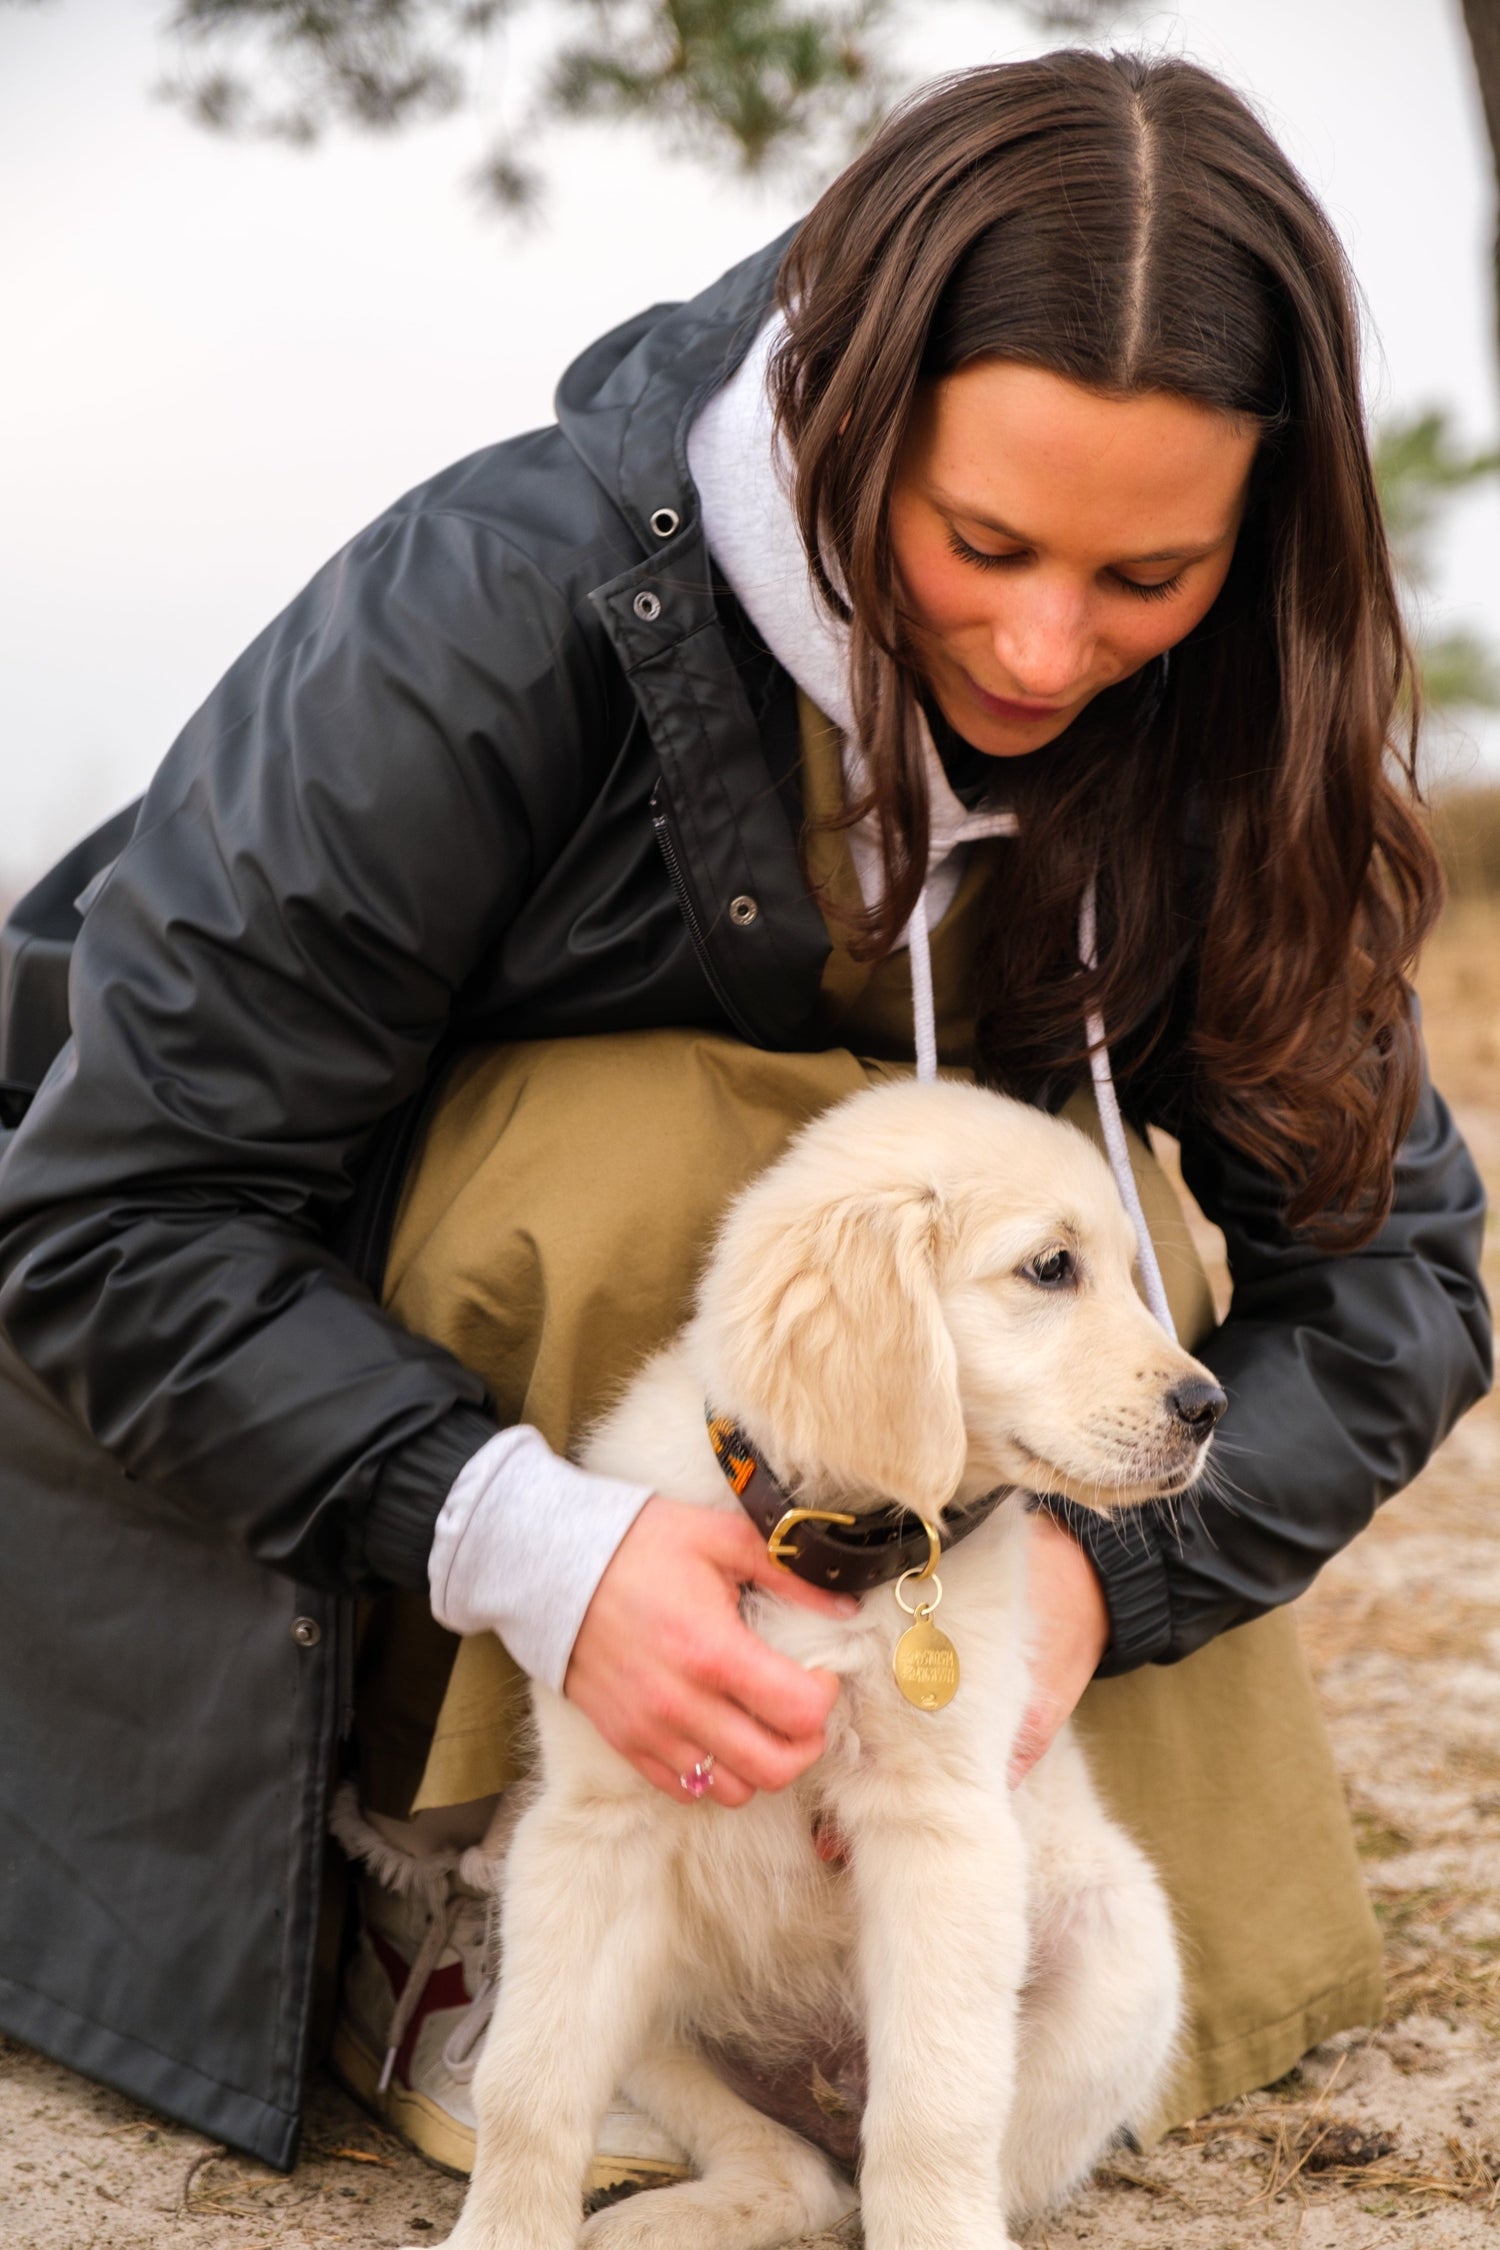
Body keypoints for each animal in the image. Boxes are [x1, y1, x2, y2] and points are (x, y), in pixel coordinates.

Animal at [427, 1080, 1223, 2241]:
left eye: (1131, 1271)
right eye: (1050, 1267)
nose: (1209, 1409)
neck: (837, 1550)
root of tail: (821, 2081)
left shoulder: (943, 1835)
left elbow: (936, 2109)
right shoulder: (590, 1831)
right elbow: (527, 2083)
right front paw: (500, 2233)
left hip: (1116, 1961)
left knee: (914, 2160)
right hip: (654, 2015)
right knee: (795, 2171)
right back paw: (668, 2217)